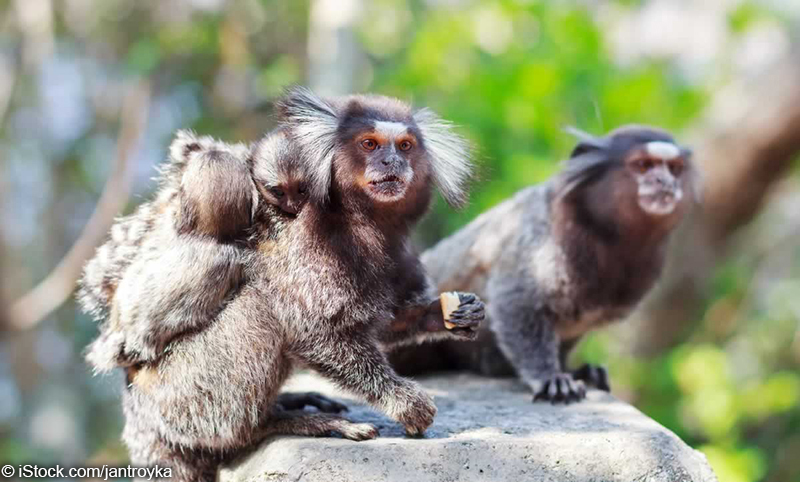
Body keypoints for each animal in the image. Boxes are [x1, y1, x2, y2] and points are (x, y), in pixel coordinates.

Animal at [112, 87, 485, 480]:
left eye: (405, 145)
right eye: (369, 144)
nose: (390, 162)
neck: (365, 222)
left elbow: (383, 324)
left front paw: (447, 315)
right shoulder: (309, 242)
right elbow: (316, 331)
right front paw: (403, 401)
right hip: (179, 397)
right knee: (258, 310)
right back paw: (276, 423)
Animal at [391, 125, 700, 404]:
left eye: (675, 169)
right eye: (644, 166)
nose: (665, 183)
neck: (607, 238)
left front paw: (575, 370)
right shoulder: (539, 244)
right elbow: (516, 303)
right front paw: (550, 377)